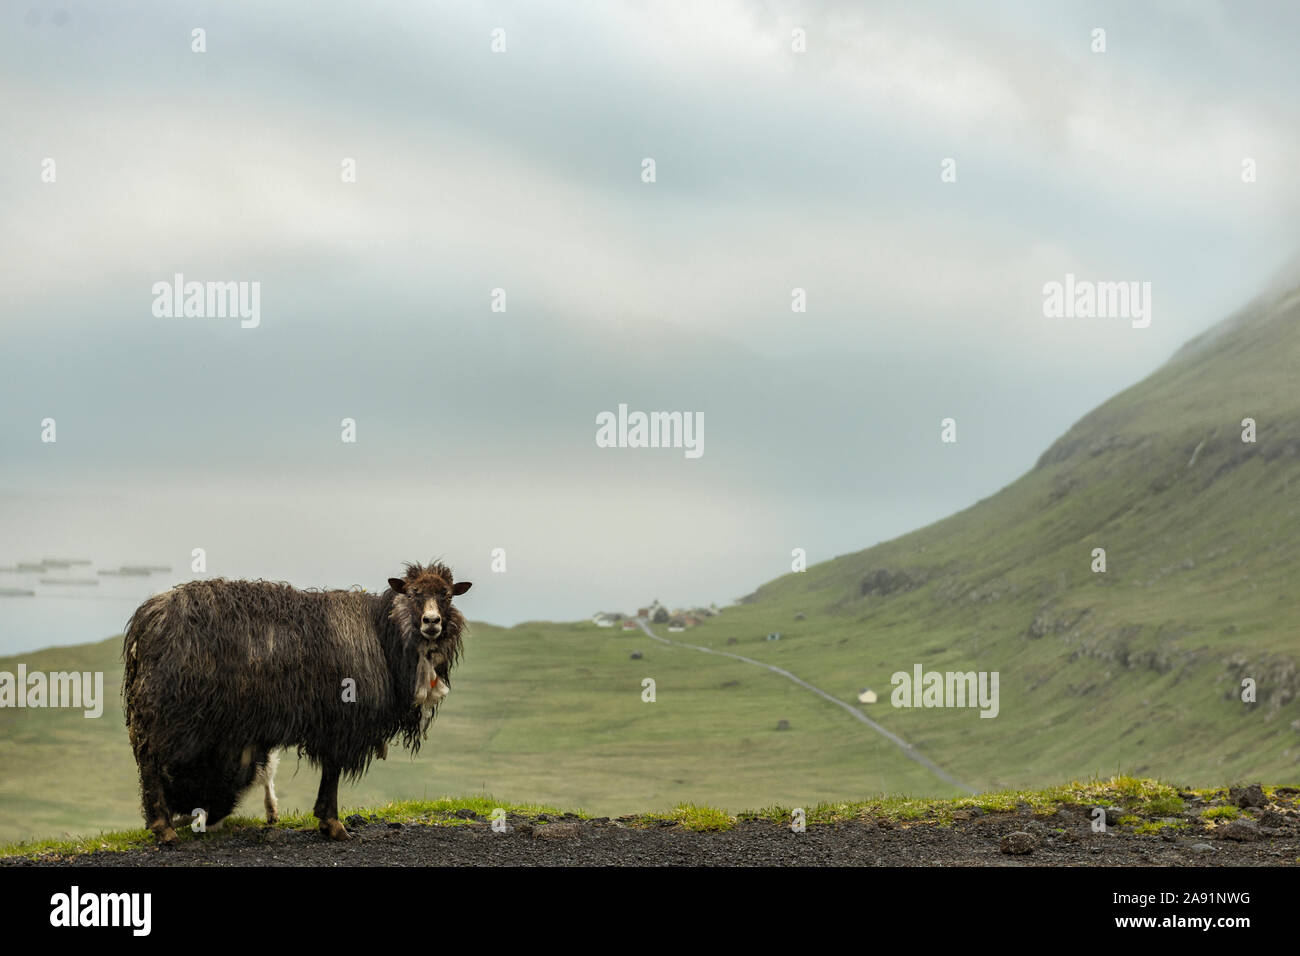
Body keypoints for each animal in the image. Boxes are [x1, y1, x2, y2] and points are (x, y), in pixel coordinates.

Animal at [122, 561, 471, 843]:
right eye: (412, 593)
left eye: (447, 595)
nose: (431, 622)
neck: (381, 632)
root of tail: (146, 618)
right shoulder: (342, 720)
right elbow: (332, 771)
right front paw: (332, 824)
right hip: (169, 710)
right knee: (150, 761)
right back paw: (163, 829)